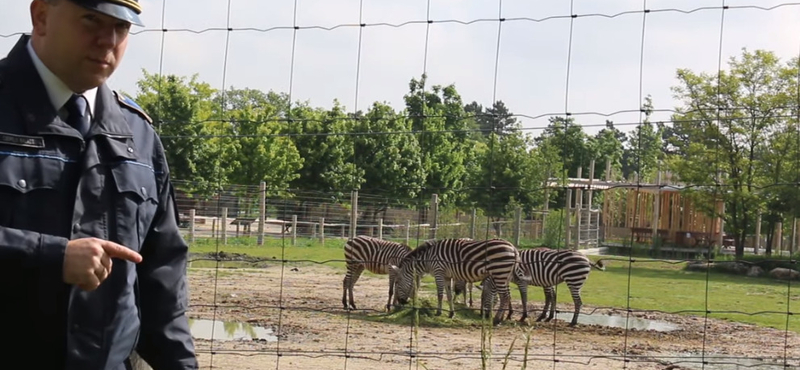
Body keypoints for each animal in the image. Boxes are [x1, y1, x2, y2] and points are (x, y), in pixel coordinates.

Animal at [390, 238, 532, 326]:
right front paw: (451, 314)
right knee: (507, 296)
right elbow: (448, 295)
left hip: (499, 273)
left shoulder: (439, 272)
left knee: (505, 296)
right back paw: (500, 318)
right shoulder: (447, 276)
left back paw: (497, 320)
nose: (401, 302)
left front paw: (438, 312)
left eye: (397, 282)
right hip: (505, 275)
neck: (428, 258)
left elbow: (440, 294)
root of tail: (513, 248)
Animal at [476, 249, 608, 326]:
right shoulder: (507, 280)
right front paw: (508, 314)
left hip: (573, 280)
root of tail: (587, 259)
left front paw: (522, 316)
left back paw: (573, 322)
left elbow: (523, 298)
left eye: (484, 297)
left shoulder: (521, 281)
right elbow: (508, 296)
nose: (484, 316)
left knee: (578, 302)